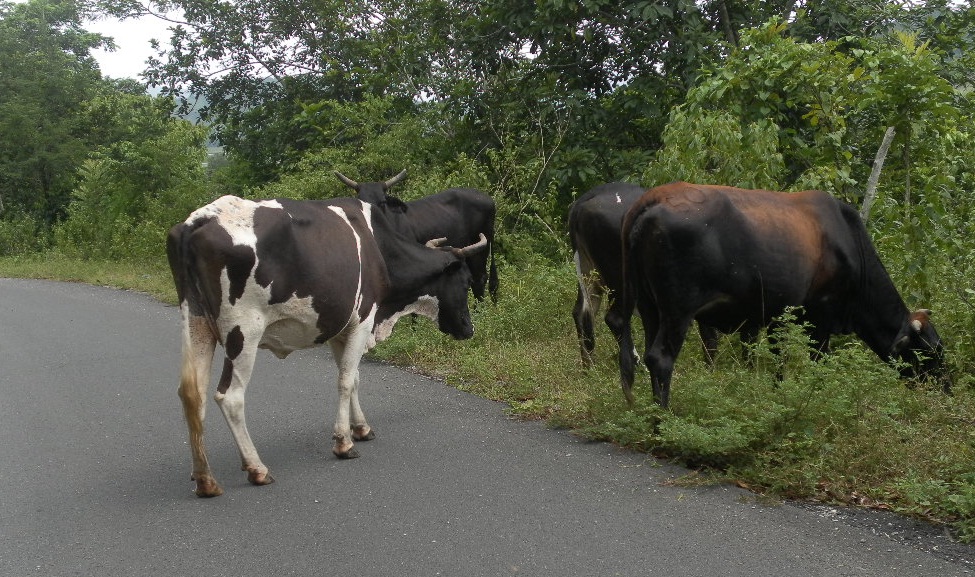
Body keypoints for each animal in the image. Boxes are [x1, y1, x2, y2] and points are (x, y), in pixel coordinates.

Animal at [166, 195, 488, 497]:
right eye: (465, 280)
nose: (469, 328)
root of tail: (199, 219)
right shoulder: (363, 319)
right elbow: (345, 381)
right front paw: (343, 442)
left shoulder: (339, 328)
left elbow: (354, 377)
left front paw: (361, 428)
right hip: (243, 330)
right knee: (230, 396)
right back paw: (257, 468)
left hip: (195, 322)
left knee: (192, 393)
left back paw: (205, 479)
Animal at [569, 182, 720, 367]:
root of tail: (584, 200)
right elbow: (710, 335)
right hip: (619, 280)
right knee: (614, 318)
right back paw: (635, 362)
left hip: (589, 275)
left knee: (582, 314)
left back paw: (590, 368)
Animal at [606, 182, 948, 408]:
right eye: (930, 352)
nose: (947, 390)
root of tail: (651, 199)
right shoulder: (820, 317)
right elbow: (818, 362)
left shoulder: (776, 316)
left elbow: (778, 360)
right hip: (678, 311)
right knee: (660, 358)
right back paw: (662, 419)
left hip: (648, 306)